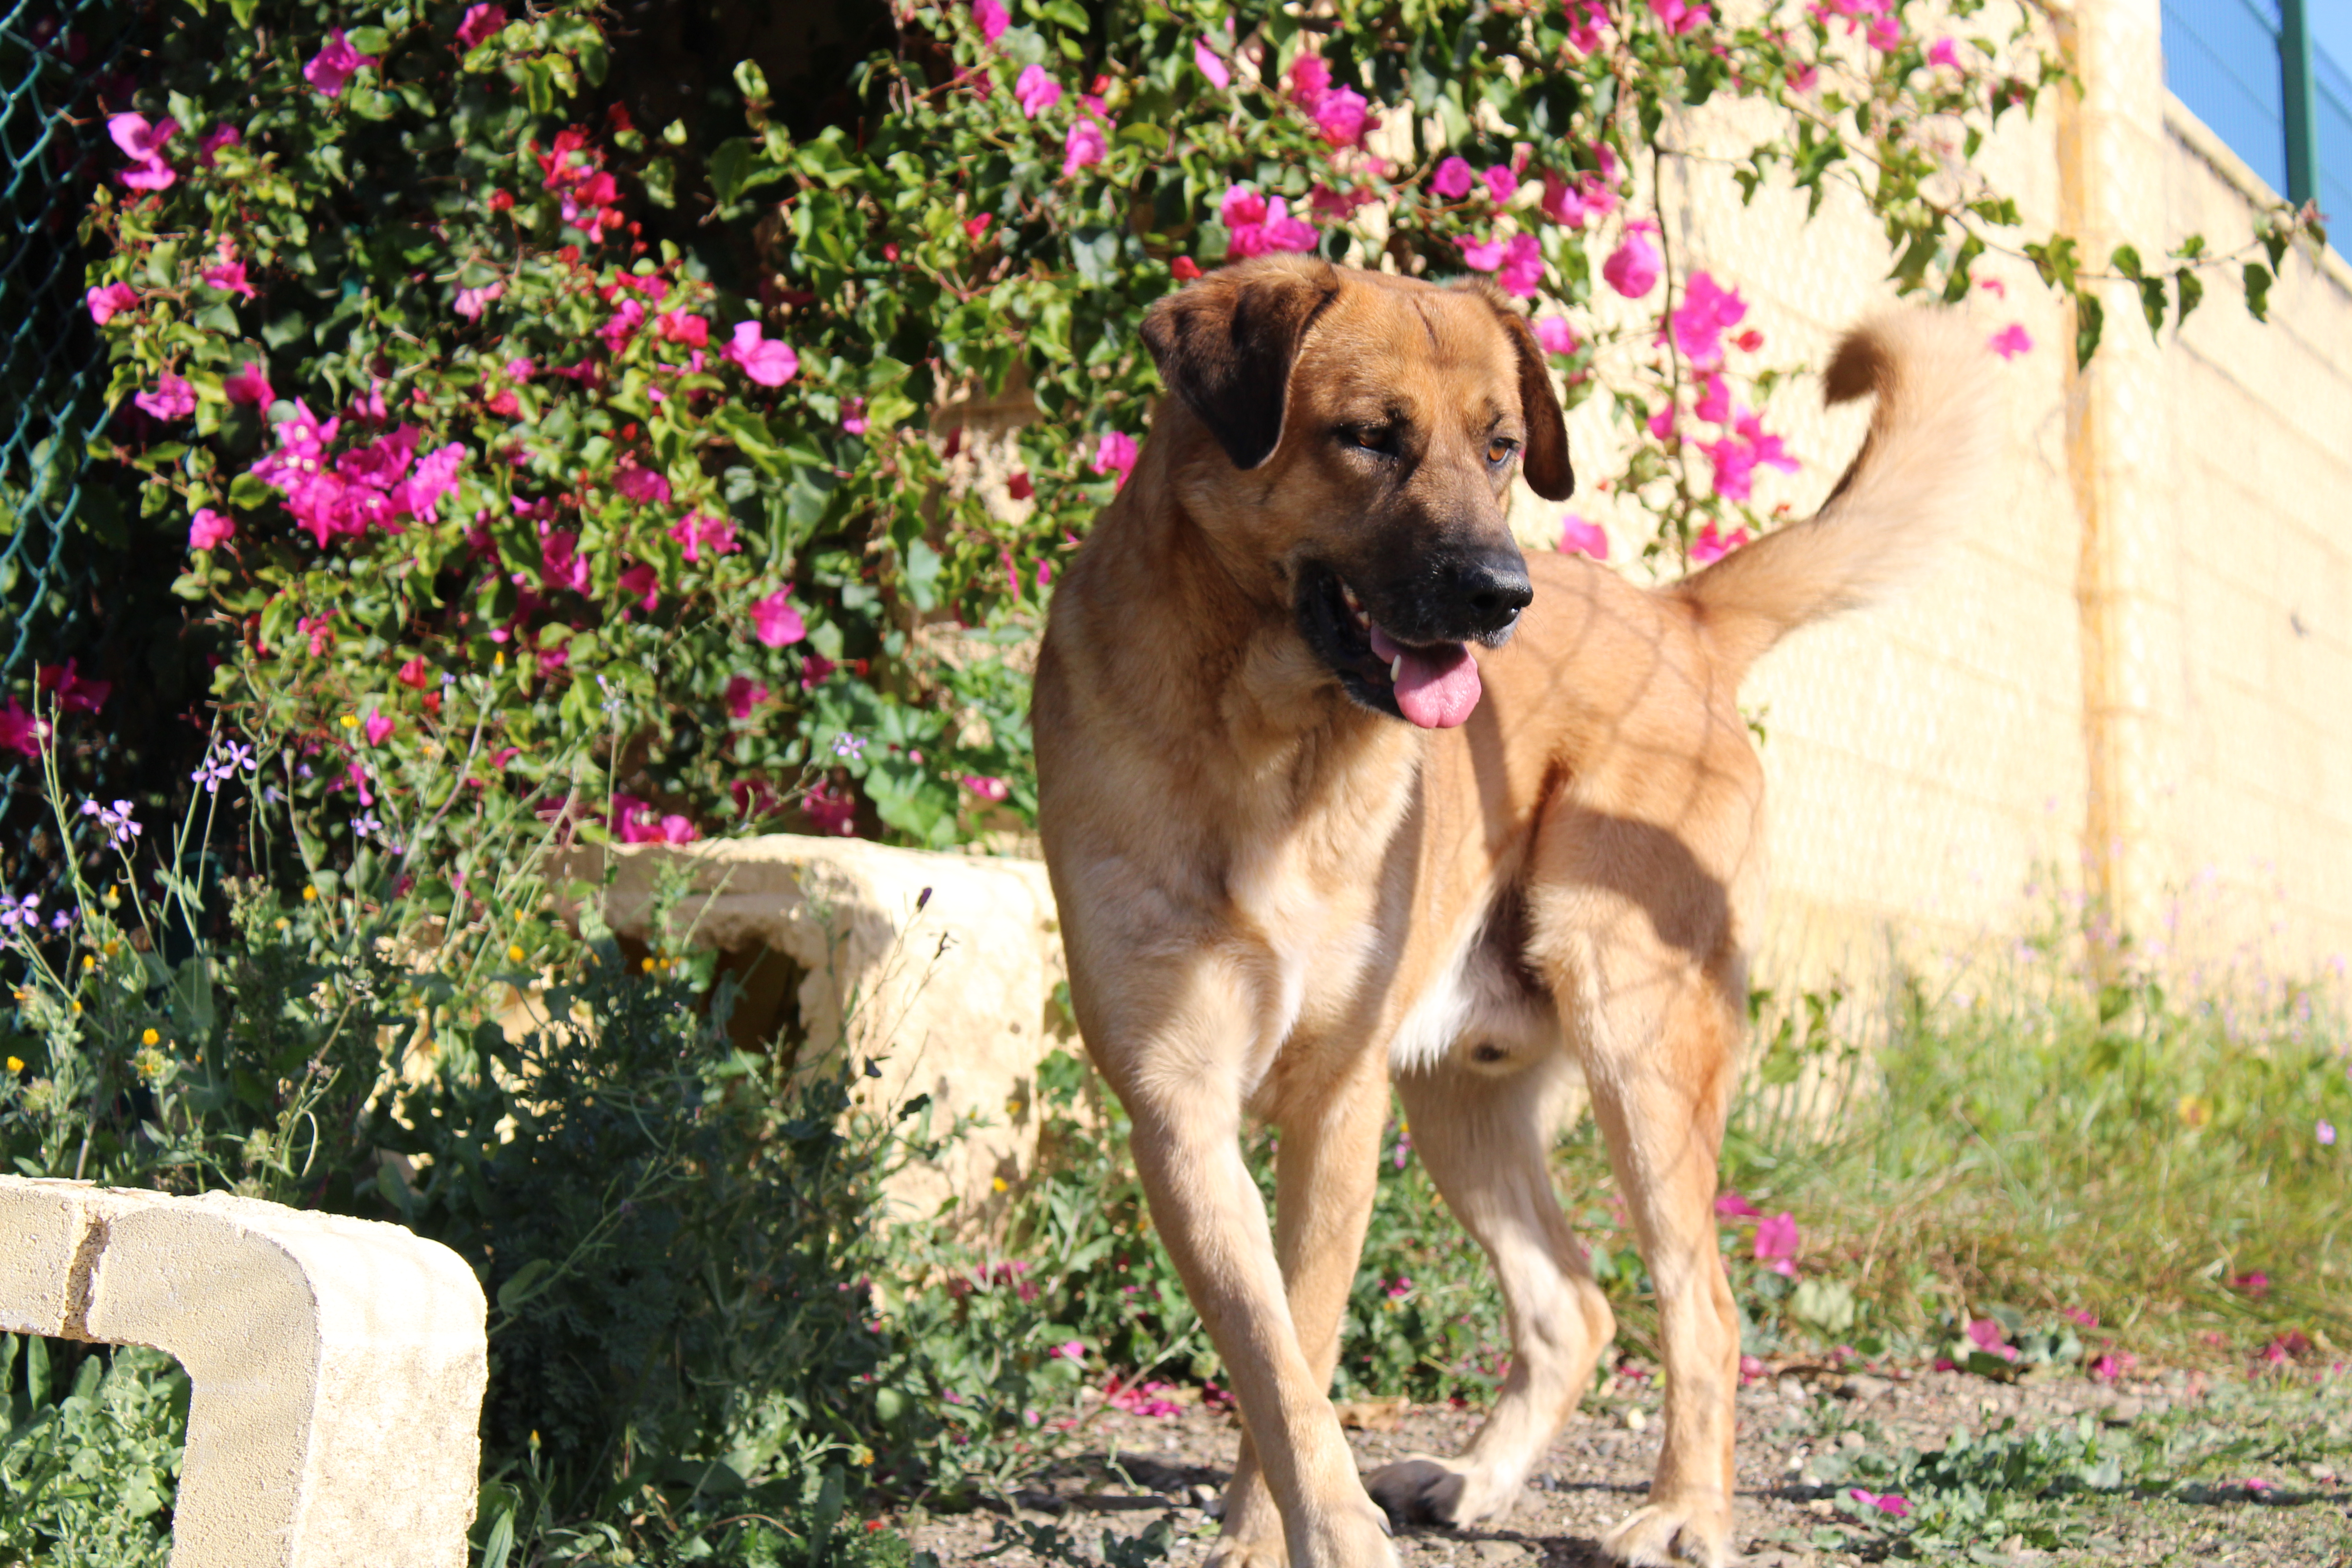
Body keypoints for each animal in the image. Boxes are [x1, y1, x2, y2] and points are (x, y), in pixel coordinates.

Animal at [1039, 251, 1994, 1561]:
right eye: (1368, 437)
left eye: (1499, 446)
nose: (1503, 597)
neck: (1263, 741)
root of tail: (1678, 616)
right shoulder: (1177, 1112)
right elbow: (1272, 1355)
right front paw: (1292, 1527)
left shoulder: (1335, 1106)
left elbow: (1303, 1339)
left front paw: (1284, 1530)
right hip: (1462, 1099)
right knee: (1574, 1306)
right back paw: (1479, 1482)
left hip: (1639, 1051)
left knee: (1703, 1306)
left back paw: (1682, 1512)